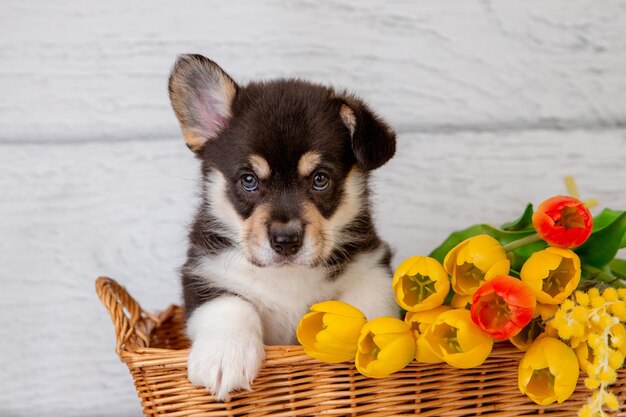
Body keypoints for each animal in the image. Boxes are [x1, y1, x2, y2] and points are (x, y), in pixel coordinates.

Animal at [167, 54, 394, 400]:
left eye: (320, 179)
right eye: (248, 180)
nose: (286, 241)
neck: (286, 277)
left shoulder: (373, 265)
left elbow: (367, 303)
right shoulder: (203, 274)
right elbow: (230, 304)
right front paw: (225, 357)